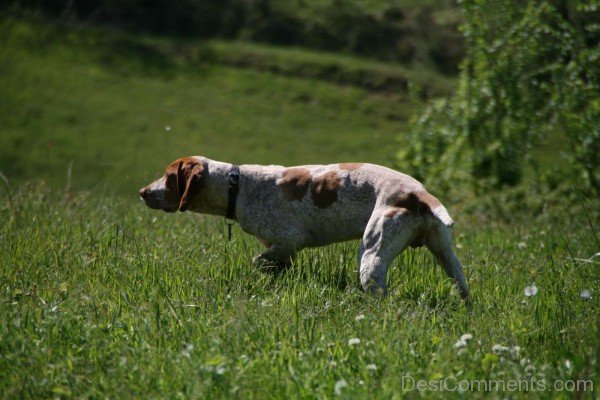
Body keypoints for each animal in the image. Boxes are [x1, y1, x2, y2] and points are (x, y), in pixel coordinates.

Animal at [141, 156, 468, 300]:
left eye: (169, 177)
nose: (143, 192)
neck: (237, 186)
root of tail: (418, 193)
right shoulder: (280, 249)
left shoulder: (290, 240)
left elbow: (259, 261)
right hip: (446, 255)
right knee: (461, 285)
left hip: (370, 254)